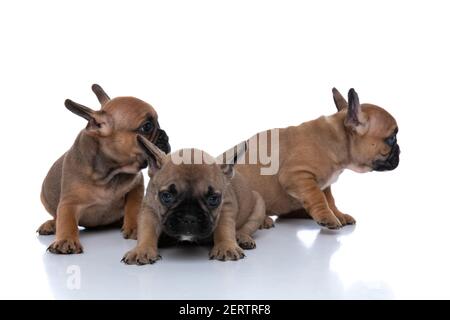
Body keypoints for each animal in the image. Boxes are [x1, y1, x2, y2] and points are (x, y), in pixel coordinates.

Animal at [36, 84, 171, 254]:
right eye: (147, 127)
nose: (165, 136)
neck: (110, 172)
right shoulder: (69, 201)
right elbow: (66, 219)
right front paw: (66, 239)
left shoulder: (136, 186)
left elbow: (133, 207)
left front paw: (134, 227)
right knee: (57, 216)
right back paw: (51, 224)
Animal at [121, 136, 266, 264]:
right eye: (167, 196)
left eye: (213, 199)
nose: (189, 218)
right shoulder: (149, 208)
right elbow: (147, 229)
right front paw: (141, 250)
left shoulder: (226, 206)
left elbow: (224, 228)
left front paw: (226, 246)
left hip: (259, 206)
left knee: (247, 227)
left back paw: (242, 237)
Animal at [234, 87, 400, 228]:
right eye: (391, 138)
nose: (400, 151)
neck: (337, 140)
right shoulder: (297, 175)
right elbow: (317, 196)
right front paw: (327, 217)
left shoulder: (325, 184)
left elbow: (329, 200)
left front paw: (338, 215)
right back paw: (263, 220)